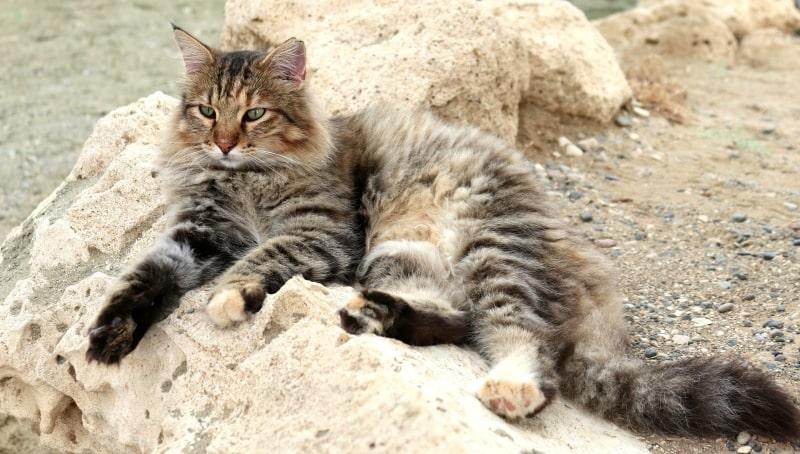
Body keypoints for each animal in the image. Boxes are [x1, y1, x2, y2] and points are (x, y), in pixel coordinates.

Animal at [86, 24, 800, 440]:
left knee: (525, 344)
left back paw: (509, 387)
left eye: (254, 114)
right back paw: (374, 315)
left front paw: (230, 299)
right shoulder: (199, 233)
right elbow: (146, 276)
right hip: (401, 255)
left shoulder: (324, 232)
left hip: (488, 253)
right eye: (207, 112)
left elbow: (260, 256)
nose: (225, 143)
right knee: (456, 320)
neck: (243, 182)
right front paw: (109, 333)